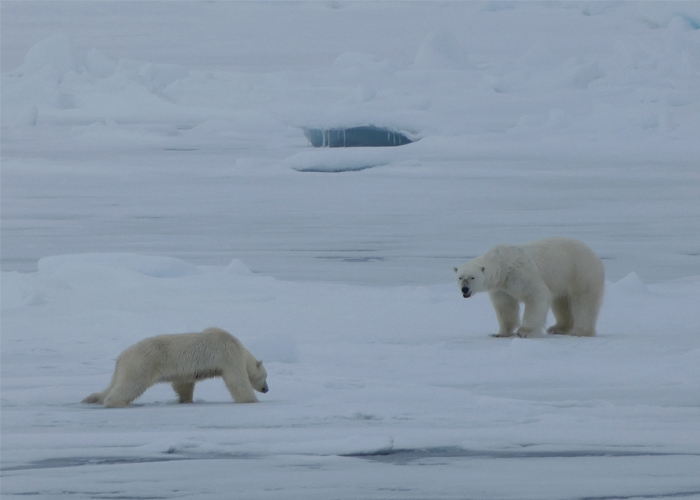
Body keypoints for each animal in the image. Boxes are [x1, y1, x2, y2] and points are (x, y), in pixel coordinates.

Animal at [82, 327, 268, 408]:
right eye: (265, 377)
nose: (266, 389)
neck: (239, 347)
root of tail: (121, 357)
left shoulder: (186, 371)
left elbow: (183, 383)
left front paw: (186, 400)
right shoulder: (229, 355)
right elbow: (237, 380)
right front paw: (250, 400)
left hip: (125, 368)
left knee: (113, 384)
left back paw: (92, 398)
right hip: (142, 364)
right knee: (130, 385)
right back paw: (113, 402)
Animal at [454, 237, 604, 338]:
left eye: (472, 277)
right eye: (460, 277)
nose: (464, 289)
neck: (502, 265)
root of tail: (593, 253)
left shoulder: (521, 274)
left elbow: (536, 295)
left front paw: (524, 332)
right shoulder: (501, 287)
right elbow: (505, 306)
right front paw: (500, 333)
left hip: (581, 272)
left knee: (584, 302)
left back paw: (580, 331)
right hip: (563, 280)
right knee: (561, 302)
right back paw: (557, 328)